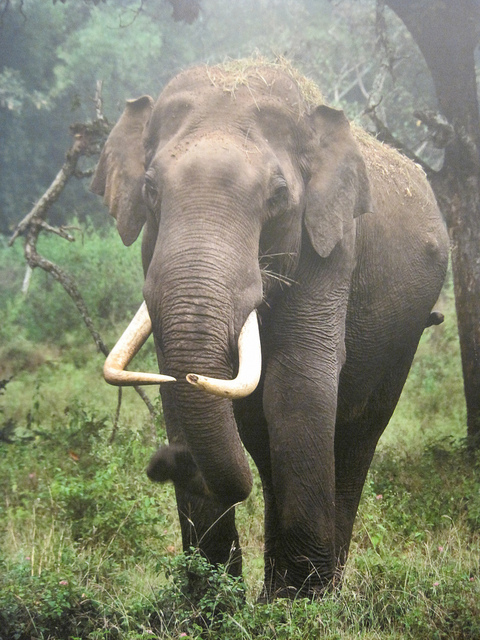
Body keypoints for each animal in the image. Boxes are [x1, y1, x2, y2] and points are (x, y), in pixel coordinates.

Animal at [91, 60, 449, 599]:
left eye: (278, 196)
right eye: (151, 190)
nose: (163, 463)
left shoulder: (330, 247)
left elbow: (299, 384)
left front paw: (301, 604)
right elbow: (175, 388)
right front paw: (211, 604)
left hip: (405, 337)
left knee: (357, 435)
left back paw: (320, 588)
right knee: (262, 442)